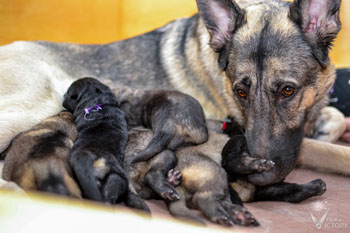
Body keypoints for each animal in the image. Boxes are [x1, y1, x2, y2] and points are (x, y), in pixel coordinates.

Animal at [0, 0, 348, 185]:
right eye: (241, 92)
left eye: (288, 90)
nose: (258, 178)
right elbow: (335, 152)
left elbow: (335, 117)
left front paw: (326, 124)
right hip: (36, 104)